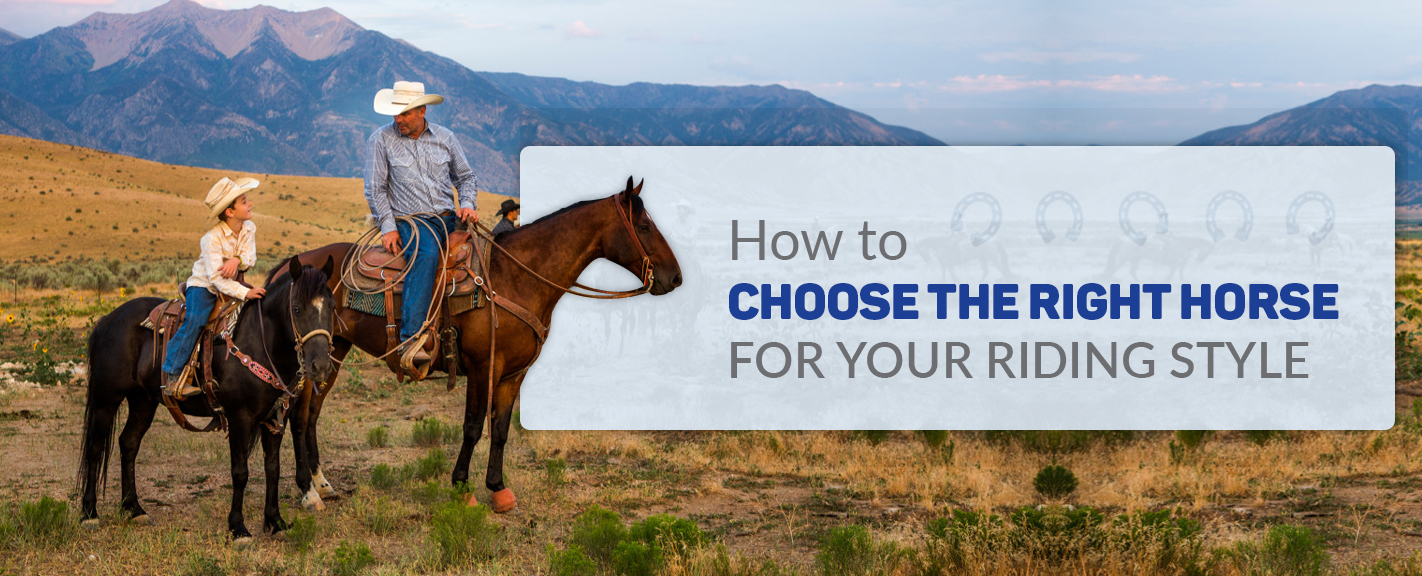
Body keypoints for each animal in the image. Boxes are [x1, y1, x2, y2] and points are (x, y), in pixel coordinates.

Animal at [77, 257, 335, 540]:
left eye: (332, 307)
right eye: (297, 308)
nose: (320, 366)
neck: (261, 341)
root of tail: (107, 320)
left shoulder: (275, 419)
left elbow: (273, 469)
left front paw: (275, 522)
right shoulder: (239, 417)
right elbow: (240, 472)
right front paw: (238, 528)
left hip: (143, 400)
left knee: (128, 443)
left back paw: (134, 509)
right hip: (106, 398)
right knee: (95, 449)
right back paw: (89, 514)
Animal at [280, 177, 679, 509]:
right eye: (644, 226)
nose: (675, 277)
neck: (514, 278)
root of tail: (291, 266)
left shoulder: (514, 373)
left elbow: (500, 429)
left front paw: (498, 489)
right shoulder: (482, 367)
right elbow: (472, 428)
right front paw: (461, 488)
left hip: (333, 351)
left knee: (312, 414)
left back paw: (323, 484)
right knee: (298, 417)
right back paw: (308, 491)